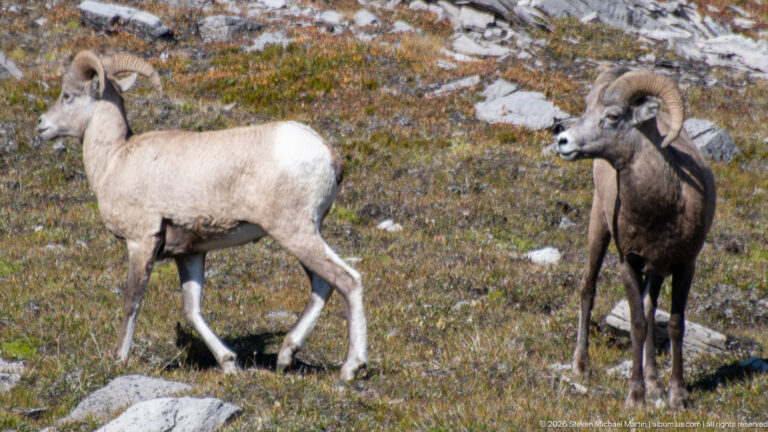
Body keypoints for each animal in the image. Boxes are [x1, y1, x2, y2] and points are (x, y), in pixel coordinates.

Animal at [37, 50, 367, 381]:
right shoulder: (189, 254)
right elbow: (191, 311)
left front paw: (119, 358)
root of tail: (327, 153)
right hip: (304, 233)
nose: (41, 125)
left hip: (294, 232)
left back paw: (352, 367)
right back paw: (286, 357)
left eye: (68, 95)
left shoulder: (140, 242)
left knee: (347, 280)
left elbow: (133, 299)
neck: (113, 159)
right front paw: (230, 363)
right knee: (323, 285)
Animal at [555, 67, 716, 409]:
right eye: (588, 109)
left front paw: (677, 395)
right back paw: (581, 366)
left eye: (613, 116)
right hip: (598, 229)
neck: (662, 207)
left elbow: (674, 324)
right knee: (588, 289)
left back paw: (655, 383)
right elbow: (638, 325)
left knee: (652, 308)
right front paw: (635, 397)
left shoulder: (684, 266)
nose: (562, 140)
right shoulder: (628, 264)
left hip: (655, 272)